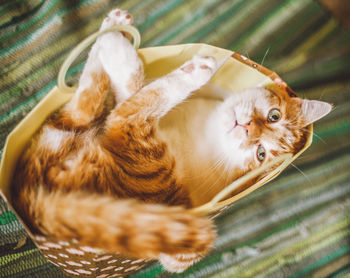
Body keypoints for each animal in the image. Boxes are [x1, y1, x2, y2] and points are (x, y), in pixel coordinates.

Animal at [9, 8, 332, 274]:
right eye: (274, 116)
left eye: (261, 154)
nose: (247, 127)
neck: (206, 128)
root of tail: (37, 203)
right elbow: (132, 83)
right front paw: (119, 47)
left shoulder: (129, 128)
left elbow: (142, 92)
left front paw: (123, 52)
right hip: (67, 132)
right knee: (85, 101)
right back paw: (113, 28)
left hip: (126, 143)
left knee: (94, 102)